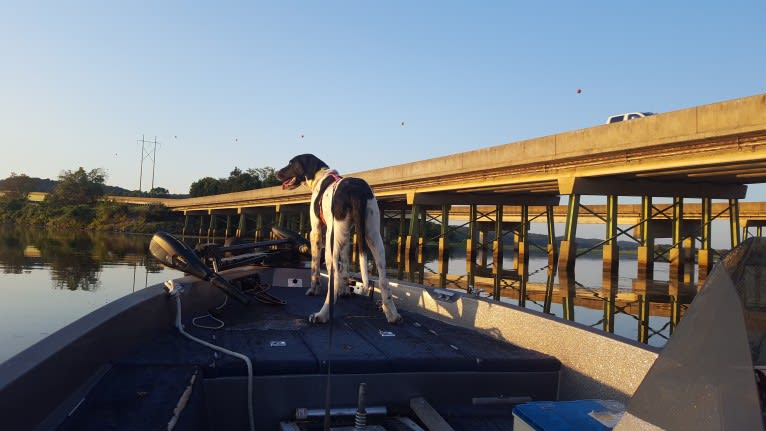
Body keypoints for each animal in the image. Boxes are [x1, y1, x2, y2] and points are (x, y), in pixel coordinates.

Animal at [280, 154, 404, 326]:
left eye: (291, 163)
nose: (277, 173)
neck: (320, 176)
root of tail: (356, 190)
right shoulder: (347, 235)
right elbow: (345, 266)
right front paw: (346, 291)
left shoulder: (316, 231)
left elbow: (315, 266)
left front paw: (313, 289)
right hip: (373, 236)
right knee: (383, 280)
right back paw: (392, 314)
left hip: (331, 242)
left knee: (334, 281)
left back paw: (322, 315)